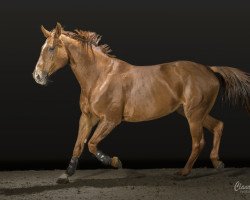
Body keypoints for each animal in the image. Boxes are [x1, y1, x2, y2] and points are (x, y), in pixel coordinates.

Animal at [32, 22, 250, 184]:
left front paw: (115, 162)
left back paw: (183, 172)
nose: (37, 76)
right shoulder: (87, 117)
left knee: (198, 142)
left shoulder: (111, 119)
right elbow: (78, 144)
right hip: (193, 112)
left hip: (194, 115)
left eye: (51, 48)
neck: (100, 77)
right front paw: (66, 174)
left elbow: (92, 144)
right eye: (43, 48)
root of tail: (209, 69)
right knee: (218, 126)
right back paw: (218, 163)